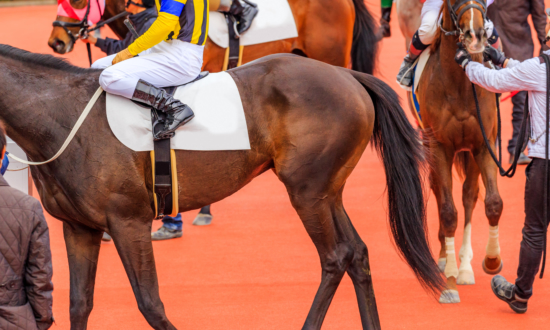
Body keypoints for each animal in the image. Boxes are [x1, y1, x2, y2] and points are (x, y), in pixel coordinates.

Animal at [0, 44, 442, 330]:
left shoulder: (128, 222)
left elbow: (150, 304)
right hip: (327, 192)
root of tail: (345, 73)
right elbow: (78, 305)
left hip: (306, 193)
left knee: (335, 257)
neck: (61, 116)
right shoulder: (79, 228)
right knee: (357, 254)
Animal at [418, 0, 504, 304]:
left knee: (469, 195)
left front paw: (491, 261)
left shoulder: (483, 144)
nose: (476, 35)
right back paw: (446, 258)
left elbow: (492, 203)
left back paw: (466, 266)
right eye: (453, 1)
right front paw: (450, 281)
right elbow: (447, 210)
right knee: (438, 188)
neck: (460, 86)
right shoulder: (439, 146)